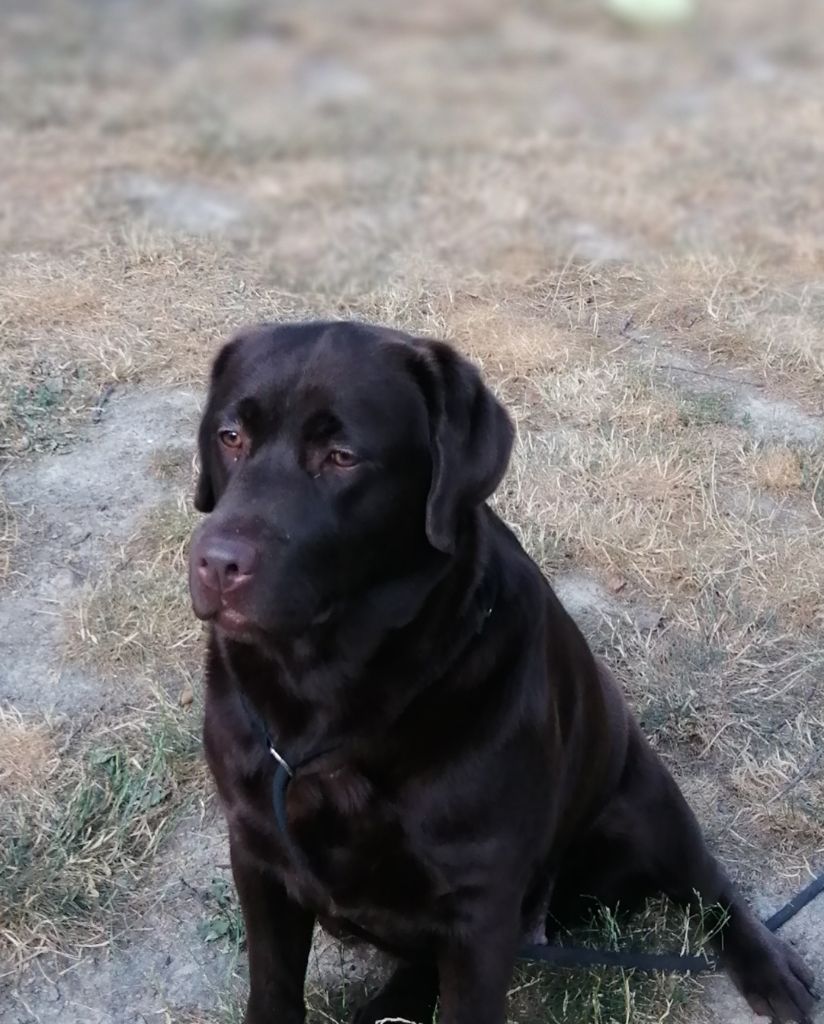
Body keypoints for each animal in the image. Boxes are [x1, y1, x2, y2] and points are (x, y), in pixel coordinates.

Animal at [189, 321, 814, 1024]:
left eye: (342, 457)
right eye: (230, 437)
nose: (214, 563)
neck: (325, 692)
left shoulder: (479, 910)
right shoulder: (257, 852)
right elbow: (271, 985)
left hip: (644, 793)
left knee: (706, 882)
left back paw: (769, 964)